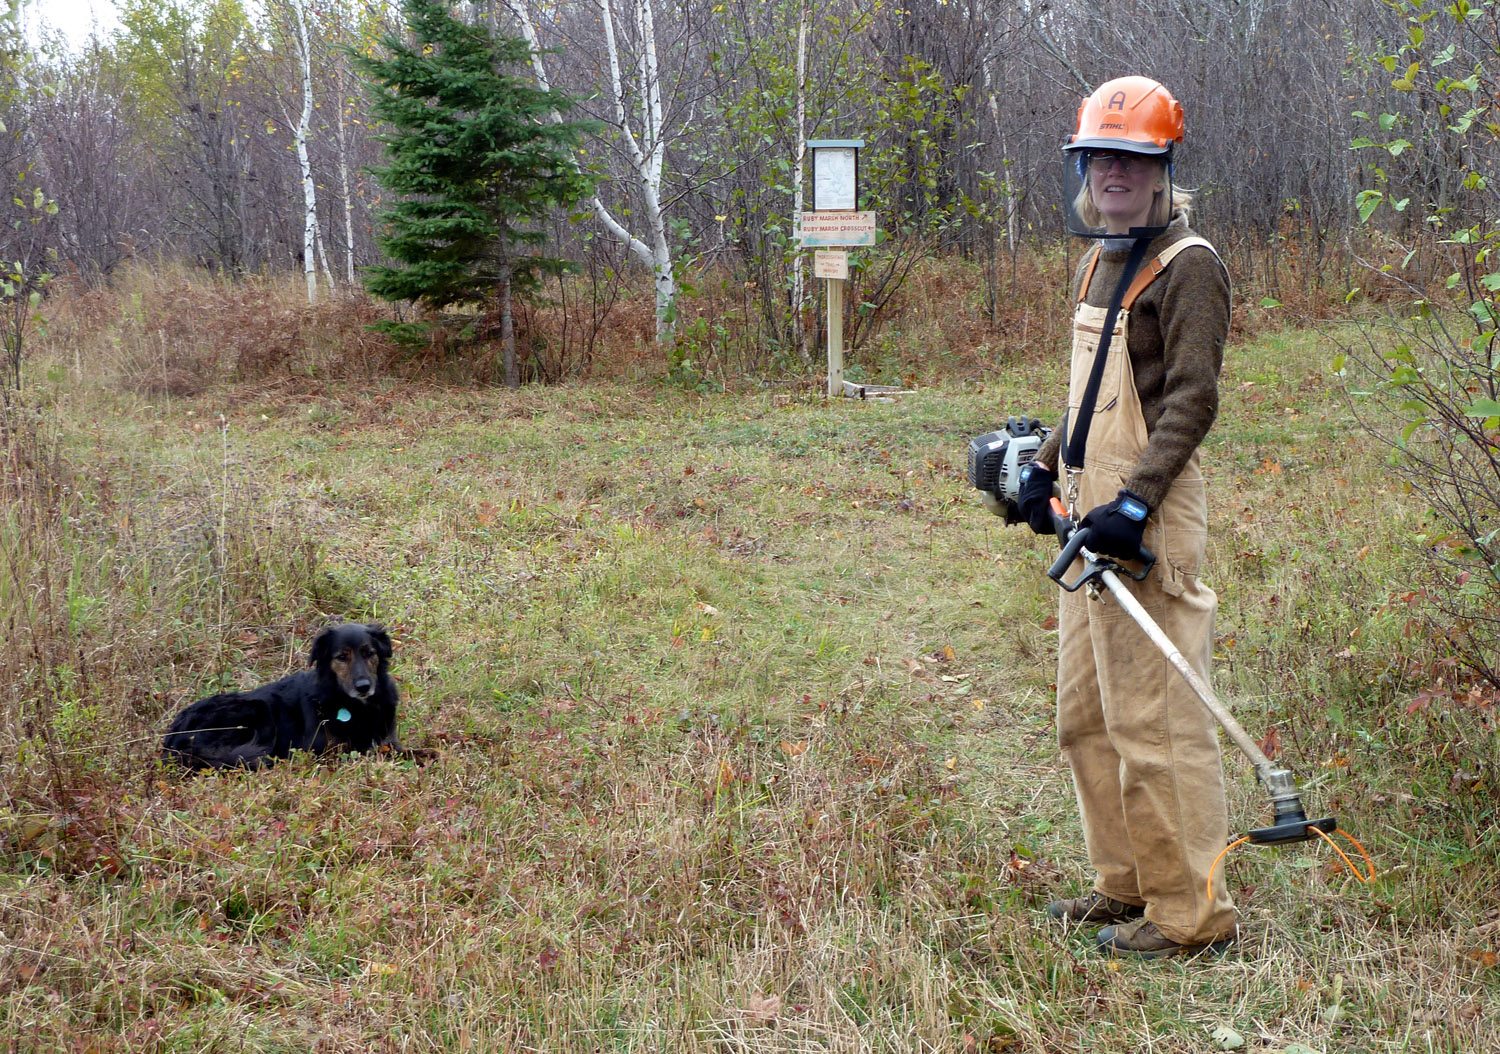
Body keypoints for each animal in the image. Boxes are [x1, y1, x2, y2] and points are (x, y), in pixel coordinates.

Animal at [162, 623, 405, 773]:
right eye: (341, 657)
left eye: (369, 653)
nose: (364, 687)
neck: (356, 706)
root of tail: (172, 739)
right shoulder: (322, 750)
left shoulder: (389, 742)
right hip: (256, 710)